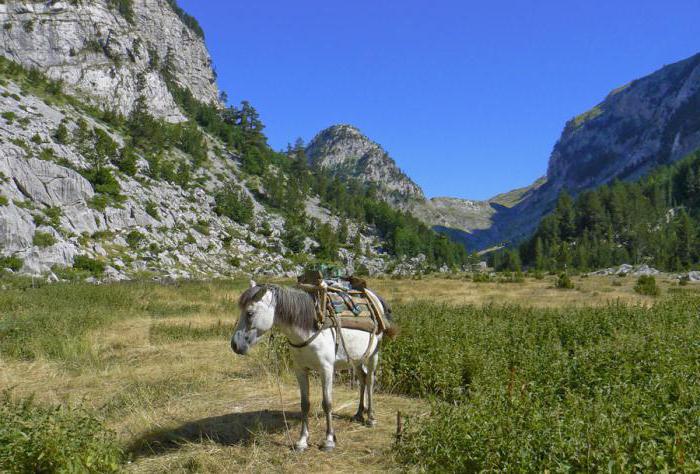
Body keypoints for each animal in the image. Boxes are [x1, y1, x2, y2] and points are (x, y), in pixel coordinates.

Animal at [232, 282, 396, 452]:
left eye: (250, 313)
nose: (235, 345)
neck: (309, 329)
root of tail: (373, 296)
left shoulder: (326, 370)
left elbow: (327, 403)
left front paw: (329, 440)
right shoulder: (300, 370)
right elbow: (304, 404)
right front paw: (302, 441)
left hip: (373, 355)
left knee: (370, 381)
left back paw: (370, 418)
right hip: (356, 358)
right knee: (363, 379)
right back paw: (358, 413)